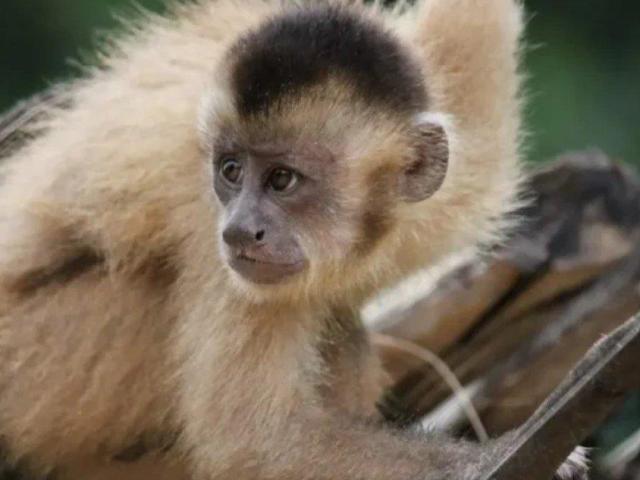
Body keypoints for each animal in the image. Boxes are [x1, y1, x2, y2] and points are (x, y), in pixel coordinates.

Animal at [0, 0, 588, 479]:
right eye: (230, 171)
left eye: (282, 180)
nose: (241, 228)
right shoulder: (201, 206)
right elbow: (254, 444)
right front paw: (497, 456)